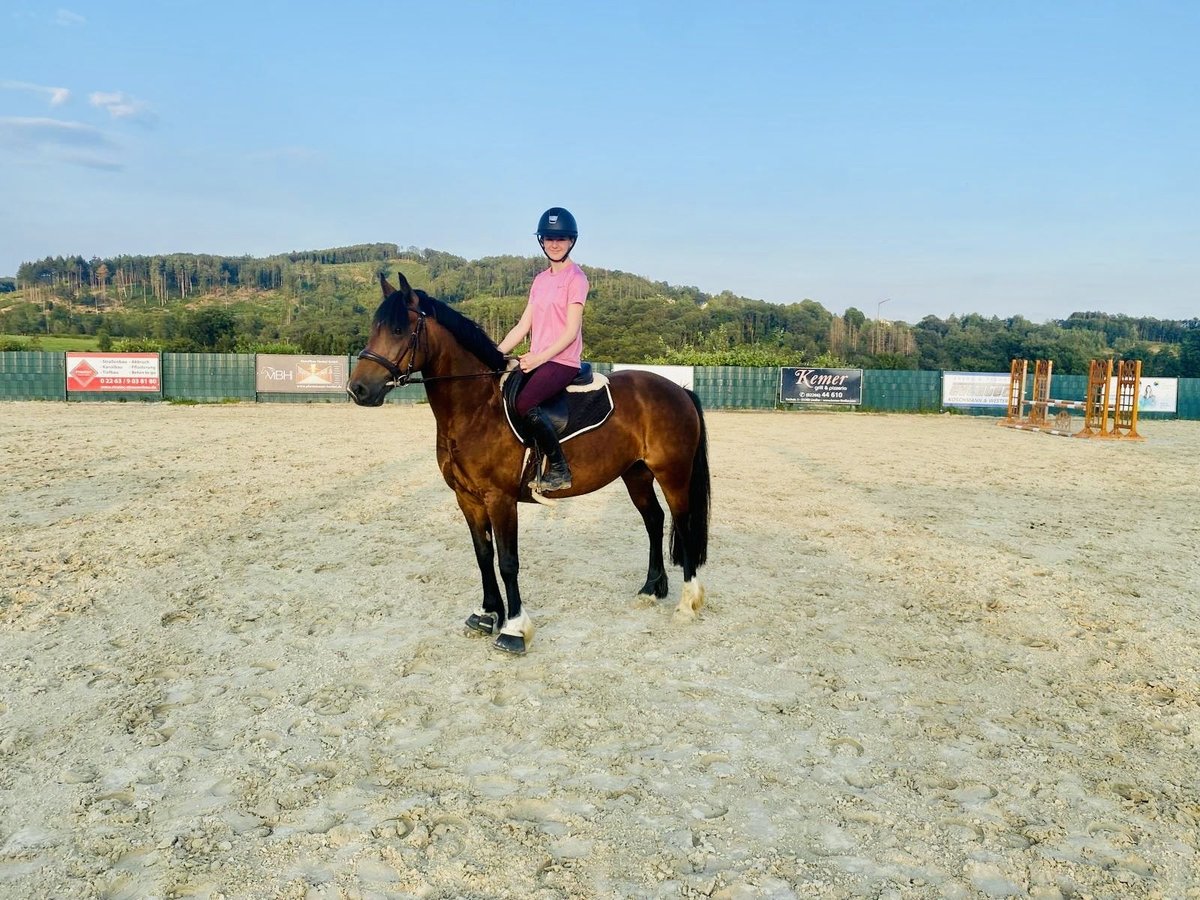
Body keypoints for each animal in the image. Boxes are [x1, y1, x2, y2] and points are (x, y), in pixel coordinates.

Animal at [343, 273, 705, 657]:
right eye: (375, 328)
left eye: (399, 329)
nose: (358, 389)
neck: (476, 408)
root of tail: (678, 389)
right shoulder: (467, 498)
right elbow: (483, 555)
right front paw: (487, 614)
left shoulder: (500, 499)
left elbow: (507, 561)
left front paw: (514, 629)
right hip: (635, 473)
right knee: (654, 520)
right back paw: (651, 589)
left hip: (673, 474)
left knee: (683, 525)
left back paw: (687, 603)